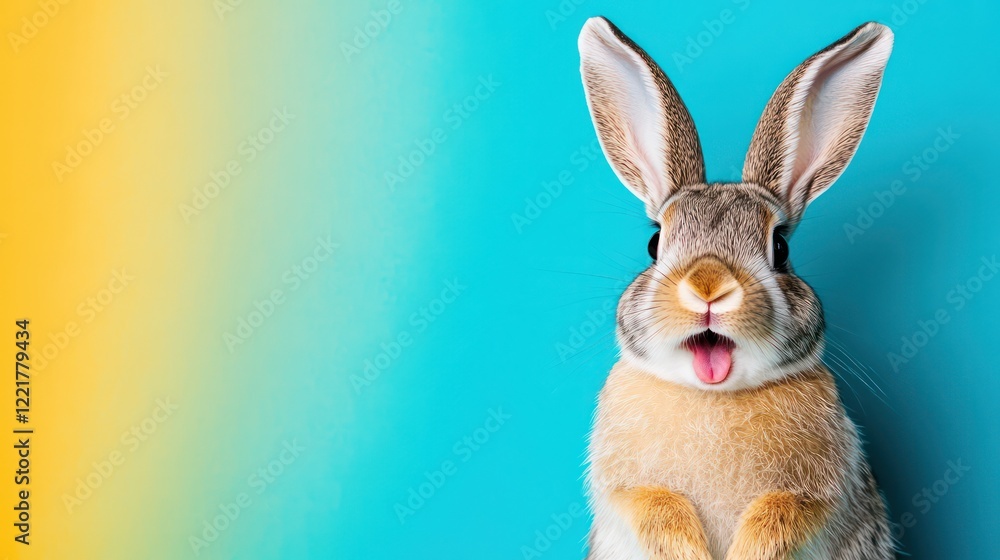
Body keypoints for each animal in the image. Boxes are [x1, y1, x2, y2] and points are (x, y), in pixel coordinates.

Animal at [577, 17, 895, 560]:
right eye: (654, 243)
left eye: (781, 248)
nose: (709, 286)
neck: (713, 395)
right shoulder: (627, 490)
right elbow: (655, 507)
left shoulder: (817, 494)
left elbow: (779, 515)